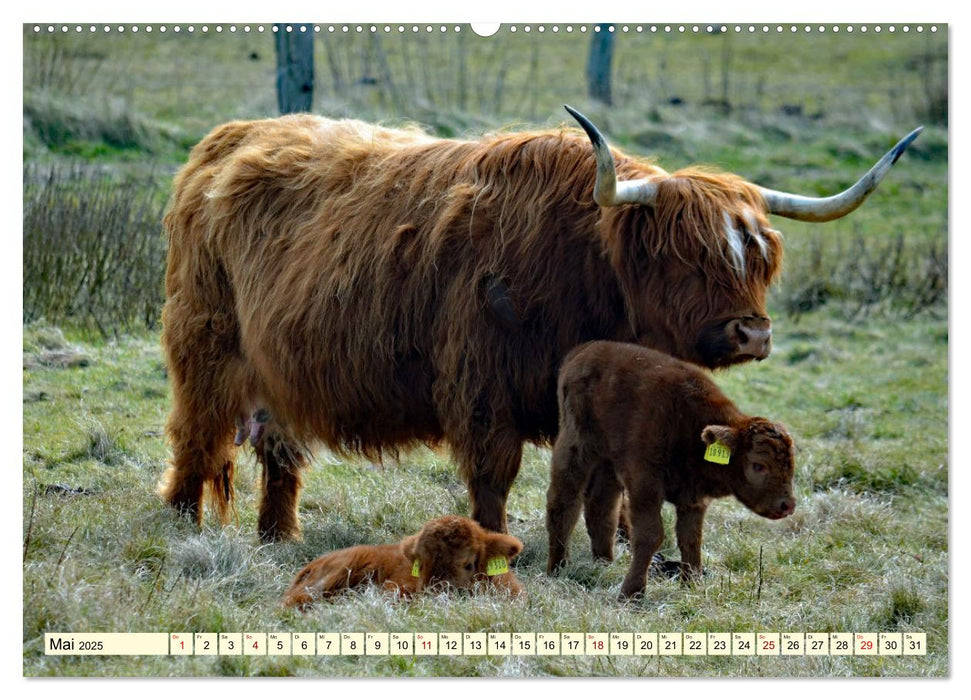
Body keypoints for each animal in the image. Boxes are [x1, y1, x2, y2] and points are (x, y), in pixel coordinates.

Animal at [159, 105, 920, 540]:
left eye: (759, 257)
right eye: (686, 256)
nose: (752, 334)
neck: (585, 272)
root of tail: (230, 138)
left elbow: (616, 480)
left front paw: (621, 544)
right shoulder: (482, 386)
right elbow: (493, 476)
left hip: (279, 371)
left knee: (280, 452)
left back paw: (279, 536)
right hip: (207, 346)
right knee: (197, 437)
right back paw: (181, 521)